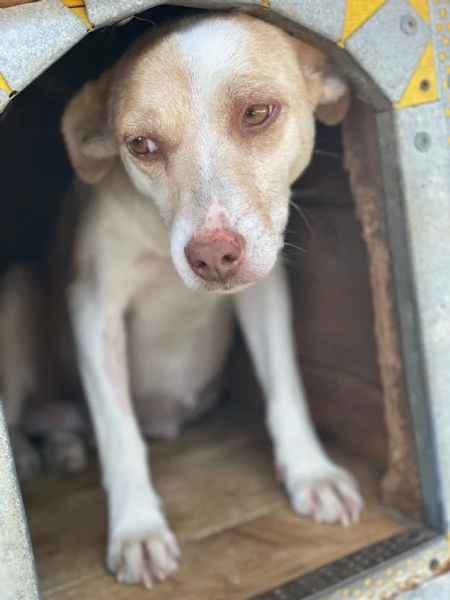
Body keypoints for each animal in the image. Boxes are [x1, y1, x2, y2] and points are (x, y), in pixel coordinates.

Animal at [3, 10, 364, 592]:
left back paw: (64, 448)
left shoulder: (263, 289)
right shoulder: (94, 312)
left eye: (256, 113)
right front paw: (137, 528)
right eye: (141, 145)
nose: (213, 256)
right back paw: (36, 457)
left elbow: (285, 387)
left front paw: (311, 472)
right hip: (15, 289)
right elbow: (120, 433)